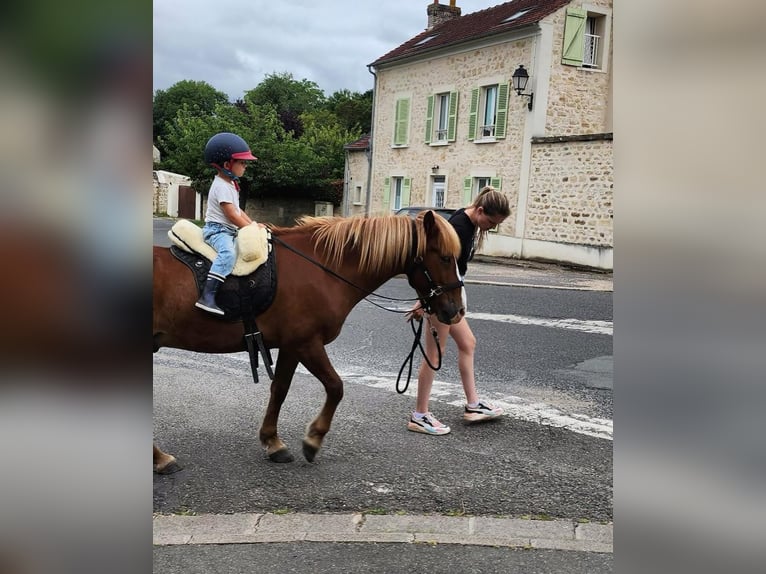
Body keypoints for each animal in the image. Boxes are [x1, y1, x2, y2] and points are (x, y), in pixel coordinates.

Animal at [153, 210, 464, 472]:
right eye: (445, 257)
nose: (457, 311)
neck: (322, 269)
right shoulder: (307, 343)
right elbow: (336, 387)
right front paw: (313, 439)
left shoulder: (291, 346)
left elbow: (280, 389)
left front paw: (272, 442)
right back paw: (160, 459)